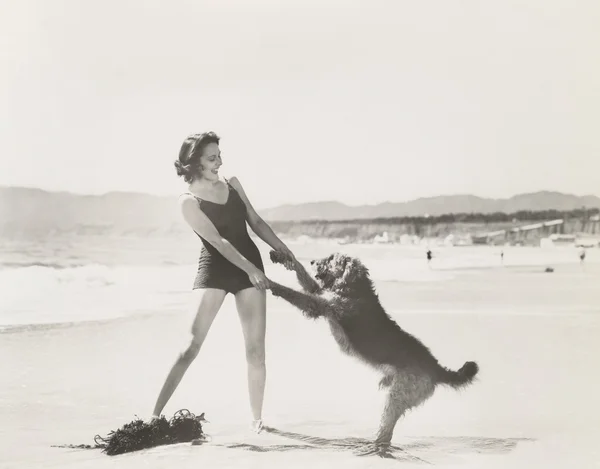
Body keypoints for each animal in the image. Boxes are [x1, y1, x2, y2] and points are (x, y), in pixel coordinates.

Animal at [268, 250, 478, 452]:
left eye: (332, 258)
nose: (312, 261)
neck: (354, 287)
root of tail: (436, 368)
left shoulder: (319, 305)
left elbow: (294, 293)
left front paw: (269, 282)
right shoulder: (318, 293)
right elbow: (303, 276)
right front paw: (283, 257)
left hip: (398, 396)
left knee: (386, 428)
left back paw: (374, 446)